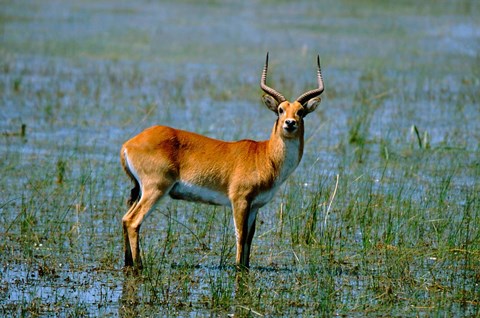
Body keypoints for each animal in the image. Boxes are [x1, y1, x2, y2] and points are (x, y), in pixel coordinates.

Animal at [120, 53, 324, 270]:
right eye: (280, 110)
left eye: (300, 111)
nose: (290, 123)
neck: (265, 156)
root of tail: (128, 144)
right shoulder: (240, 200)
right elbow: (240, 235)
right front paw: (238, 268)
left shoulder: (255, 206)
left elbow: (249, 238)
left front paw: (245, 266)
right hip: (155, 189)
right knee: (133, 221)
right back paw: (139, 266)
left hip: (141, 191)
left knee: (125, 219)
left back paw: (128, 263)